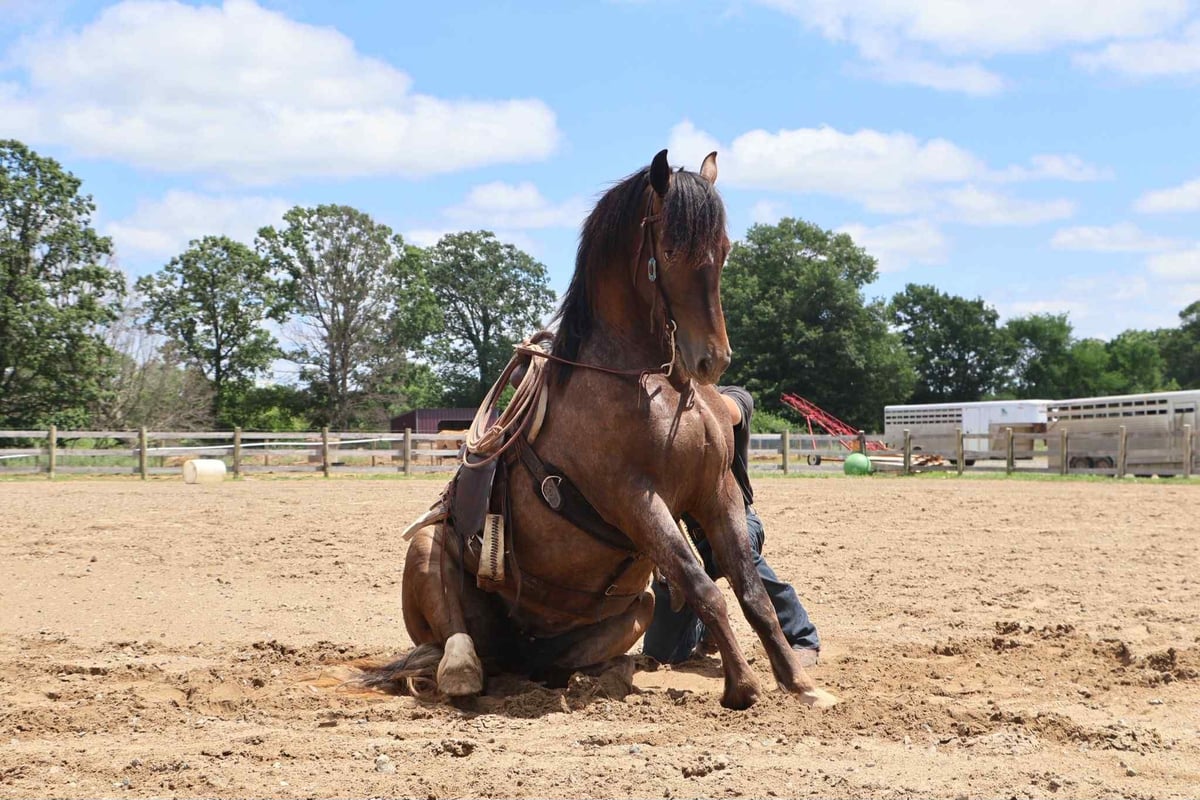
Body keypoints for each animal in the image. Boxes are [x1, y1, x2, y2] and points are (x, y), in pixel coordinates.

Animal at [374, 150, 837, 710]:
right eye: (672, 247)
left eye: (724, 249)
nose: (712, 359)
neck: (655, 384)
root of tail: (516, 651)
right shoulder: (633, 498)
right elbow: (703, 586)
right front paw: (742, 687)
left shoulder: (717, 490)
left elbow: (752, 593)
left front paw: (801, 684)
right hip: (426, 554)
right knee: (452, 642)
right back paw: (462, 671)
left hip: (636, 607)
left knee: (558, 664)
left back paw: (604, 675)